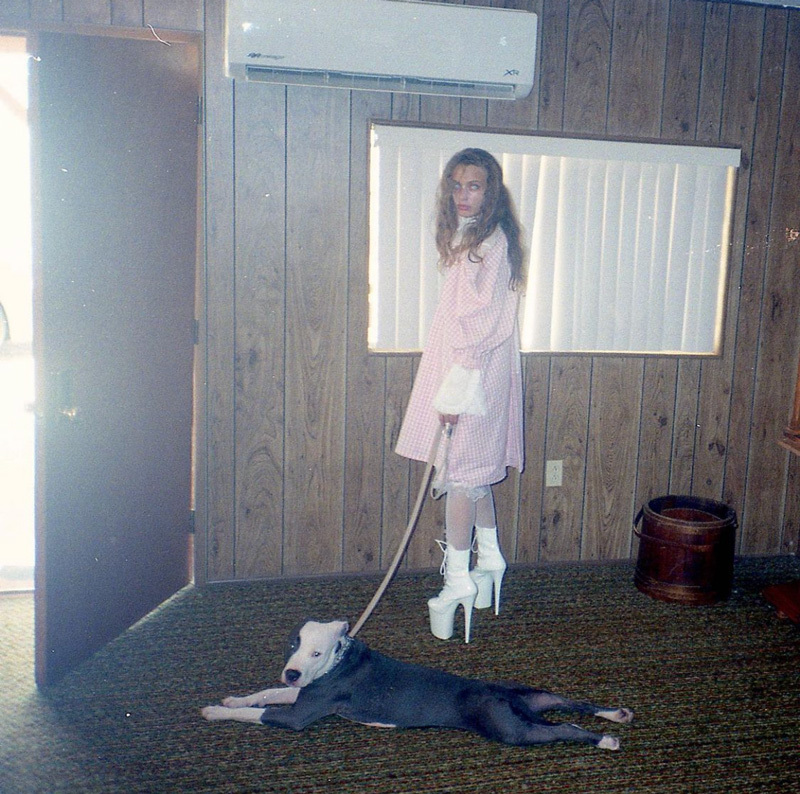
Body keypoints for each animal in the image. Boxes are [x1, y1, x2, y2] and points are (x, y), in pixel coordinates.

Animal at [203, 620, 636, 748]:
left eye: (316, 653)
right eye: (293, 645)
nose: (293, 671)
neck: (340, 659)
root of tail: (501, 696)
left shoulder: (297, 715)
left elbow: (262, 712)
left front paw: (215, 710)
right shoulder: (302, 692)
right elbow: (267, 694)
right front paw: (235, 698)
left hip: (512, 730)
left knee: (567, 728)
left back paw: (605, 740)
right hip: (532, 695)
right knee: (576, 706)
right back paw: (616, 714)